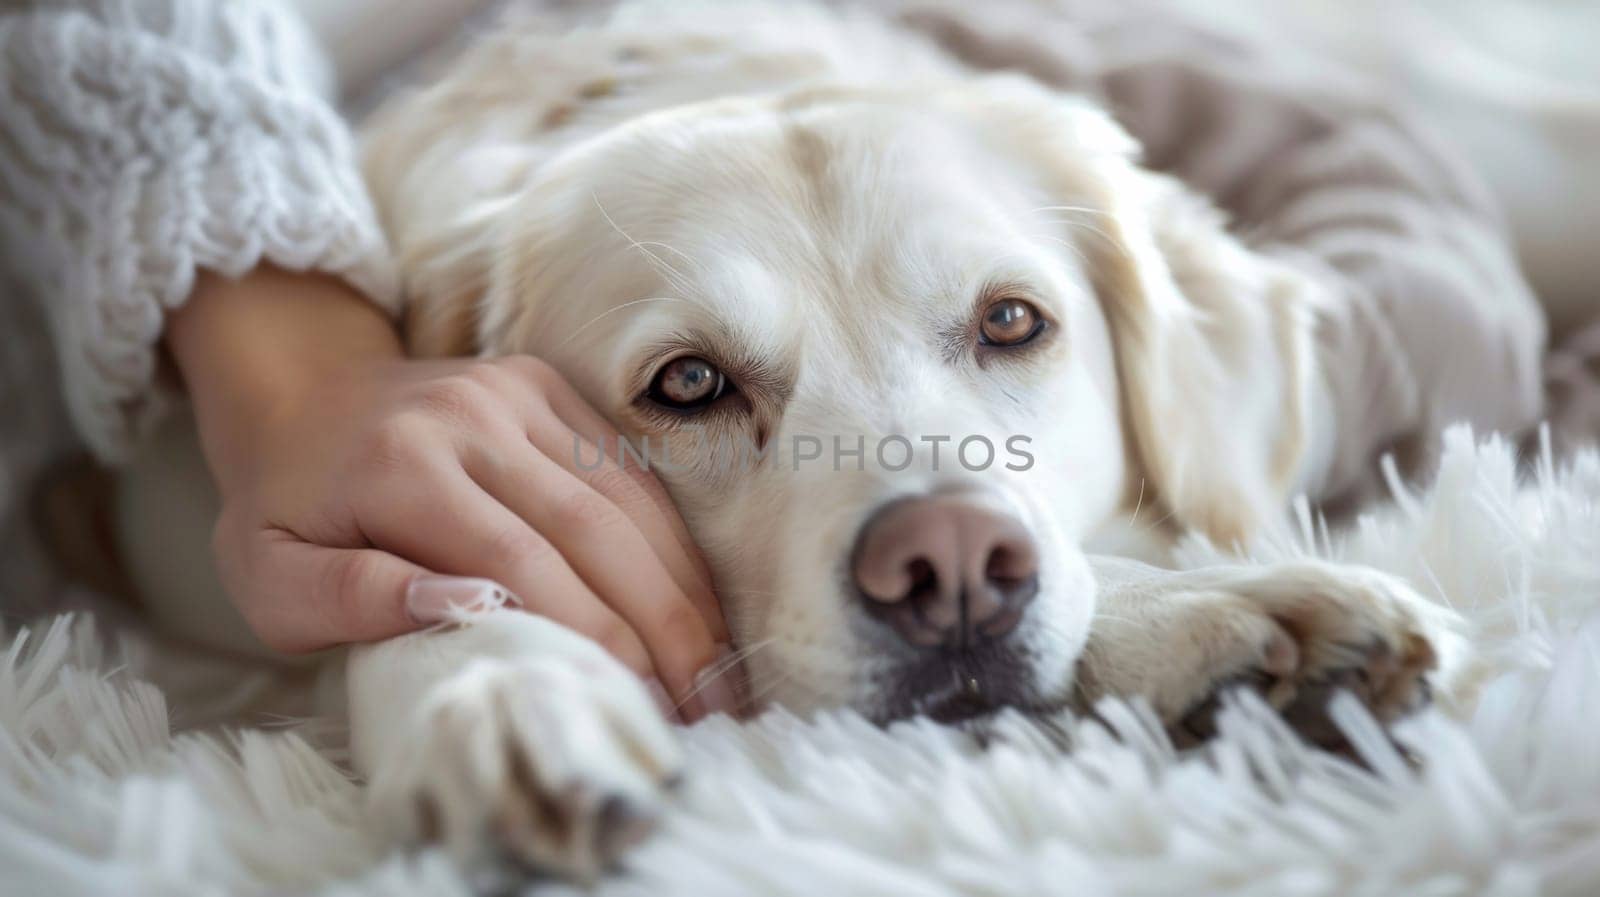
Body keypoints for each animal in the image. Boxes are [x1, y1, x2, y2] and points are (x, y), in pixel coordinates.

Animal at [124, 0, 1548, 882]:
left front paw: (1235, 619)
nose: (953, 567)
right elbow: (425, 574)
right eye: (689, 383)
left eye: (1011, 321)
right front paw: (501, 694)